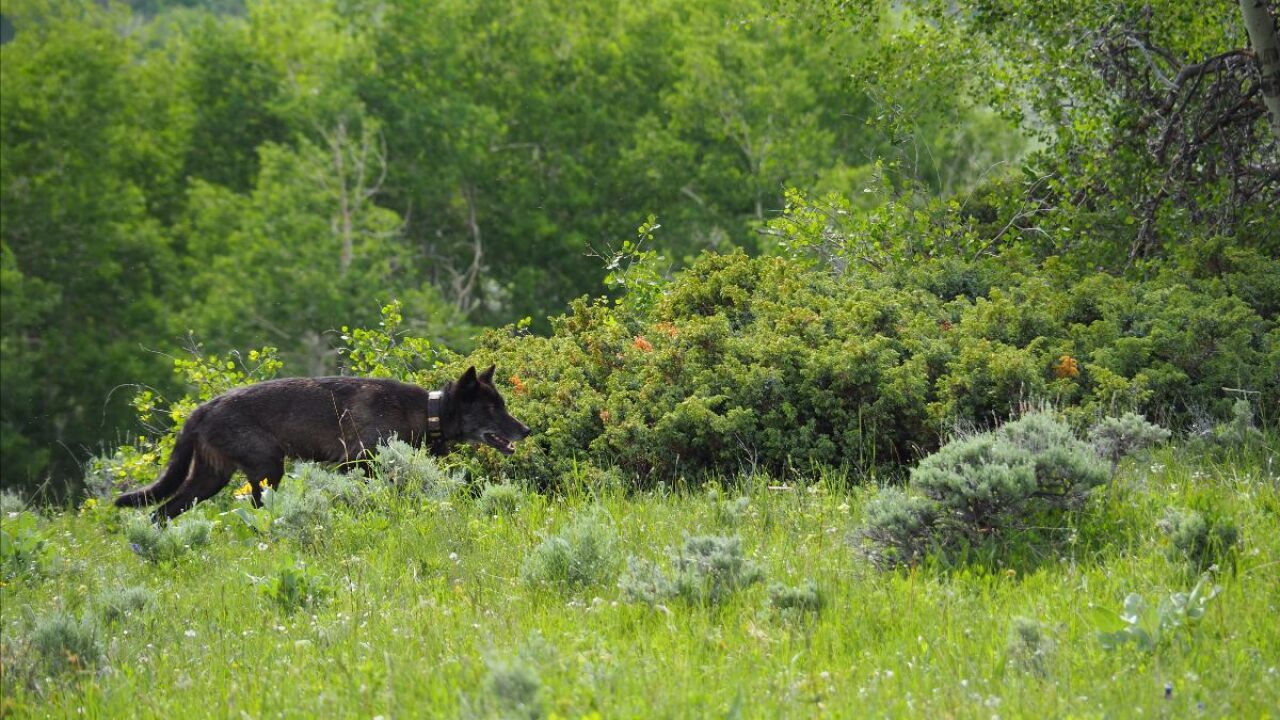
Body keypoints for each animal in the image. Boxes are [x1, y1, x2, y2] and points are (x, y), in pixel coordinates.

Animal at [114, 365, 530, 520]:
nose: (525, 431)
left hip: (208, 480)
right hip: (267, 470)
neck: (426, 410)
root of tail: (202, 408)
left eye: (502, 405)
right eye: (492, 409)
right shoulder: (352, 464)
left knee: (159, 513)